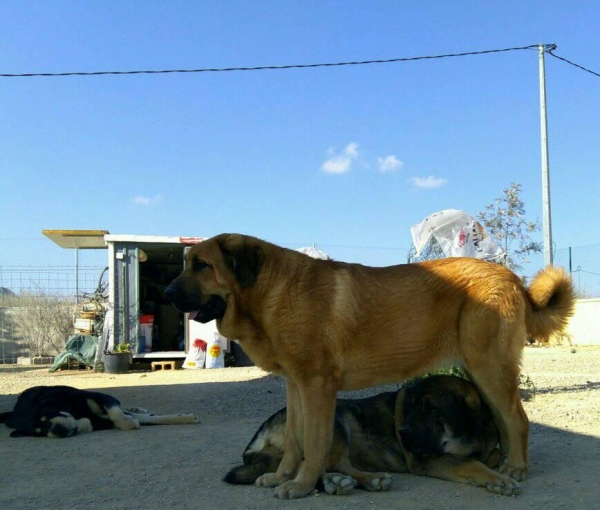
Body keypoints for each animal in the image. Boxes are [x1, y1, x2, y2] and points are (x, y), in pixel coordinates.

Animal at [223, 374, 516, 494]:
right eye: (412, 407)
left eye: (433, 410)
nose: (402, 433)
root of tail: (260, 433)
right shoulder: (428, 459)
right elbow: (472, 463)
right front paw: (498, 479)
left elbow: (491, 454)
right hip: (335, 423)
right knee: (330, 464)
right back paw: (368, 479)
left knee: (318, 467)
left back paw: (335, 483)